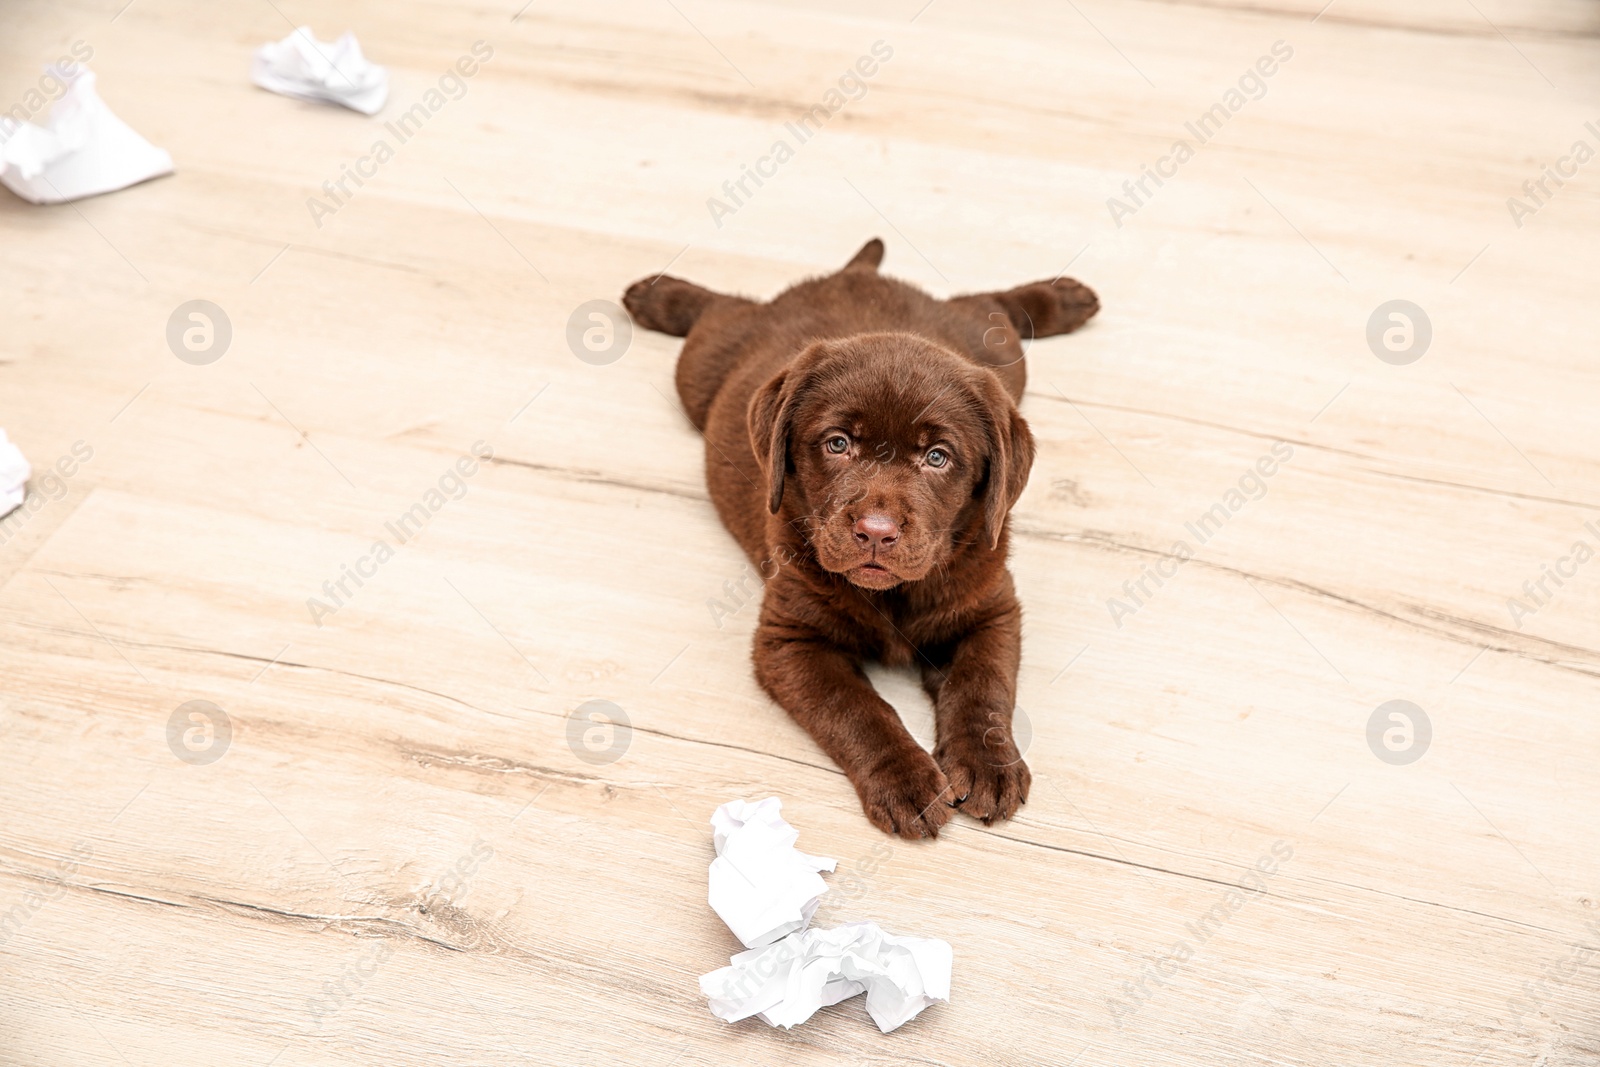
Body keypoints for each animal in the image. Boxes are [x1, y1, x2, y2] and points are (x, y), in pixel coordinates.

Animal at [624, 241, 1100, 844]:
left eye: (938, 457)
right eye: (837, 444)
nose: (875, 531)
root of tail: (850, 276)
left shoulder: (991, 607)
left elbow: (984, 686)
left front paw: (990, 764)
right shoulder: (791, 640)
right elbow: (858, 708)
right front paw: (907, 782)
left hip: (998, 351)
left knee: (991, 307)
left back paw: (1066, 298)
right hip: (702, 371)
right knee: (721, 311)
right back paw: (657, 295)